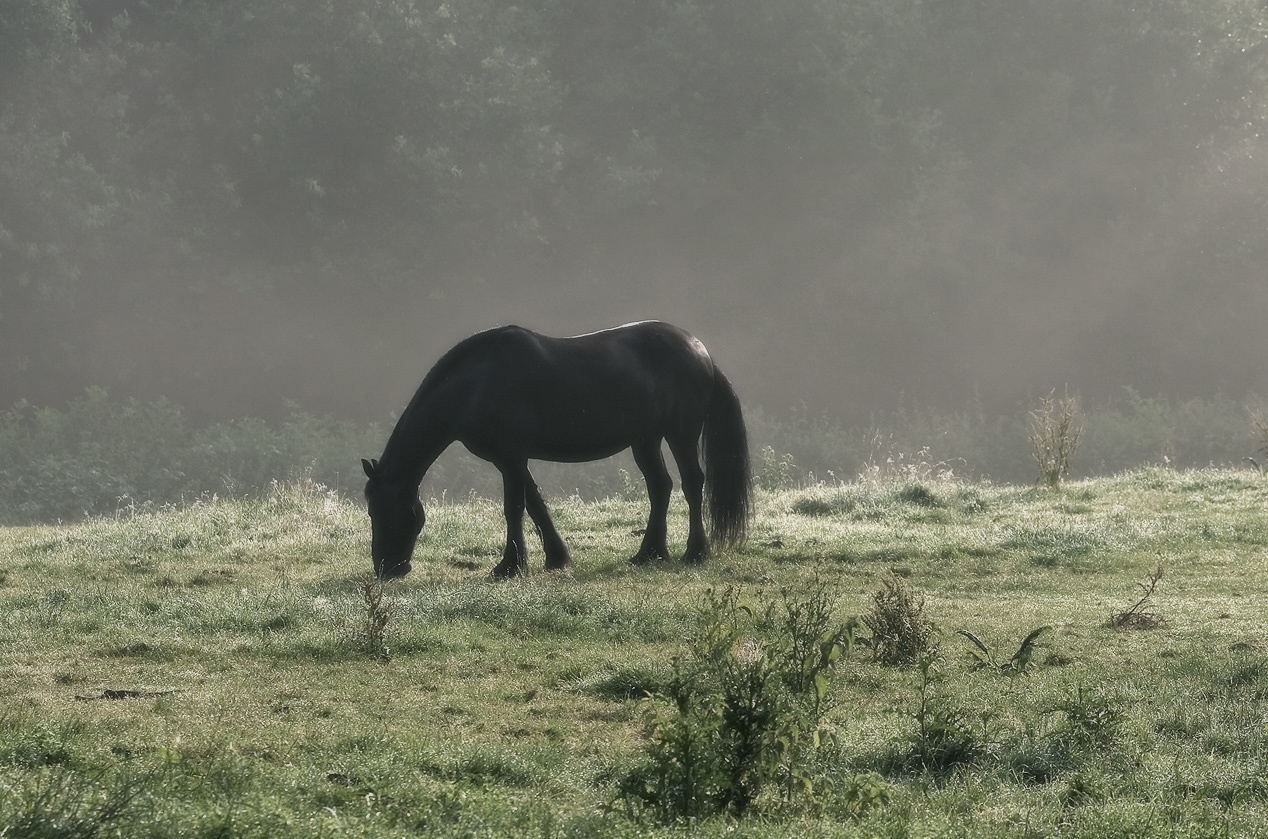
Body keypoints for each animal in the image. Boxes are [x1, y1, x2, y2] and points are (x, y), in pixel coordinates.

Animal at [361, 320, 751, 580]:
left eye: (384, 510)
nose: (386, 568)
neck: (478, 381)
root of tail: (699, 349)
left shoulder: (511, 457)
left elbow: (515, 508)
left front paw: (510, 566)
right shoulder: (511, 460)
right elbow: (535, 503)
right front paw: (556, 557)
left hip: (680, 435)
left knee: (692, 483)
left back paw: (695, 552)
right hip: (646, 440)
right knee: (661, 487)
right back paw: (649, 553)